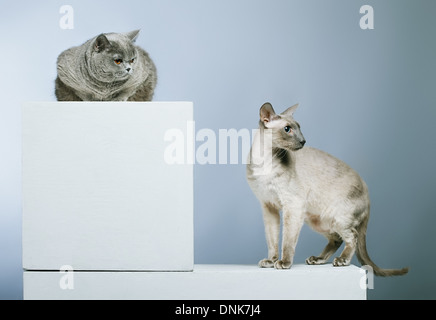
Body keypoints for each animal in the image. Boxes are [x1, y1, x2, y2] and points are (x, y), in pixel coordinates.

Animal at [247, 102, 410, 276]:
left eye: (299, 128)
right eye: (287, 129)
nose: (303, 141)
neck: (264, 161)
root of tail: (367, 189)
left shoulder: (292, 205)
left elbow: (287, 241)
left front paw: (284, 262)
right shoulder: (268, 206)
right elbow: (272, 240)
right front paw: (270, 261)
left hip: (337, 218)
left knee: (352, 236)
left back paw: (342, 260)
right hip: (317, 220)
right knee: (336, 239)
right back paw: (317, 259)